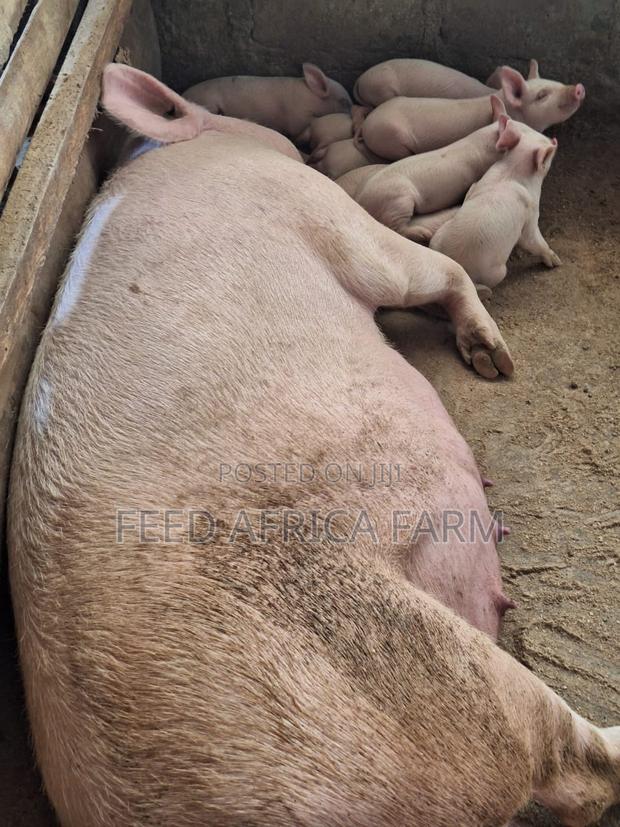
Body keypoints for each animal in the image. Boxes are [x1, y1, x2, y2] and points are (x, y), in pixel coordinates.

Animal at [183, 63, 352, 145]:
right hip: (209, 103)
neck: (311, 98)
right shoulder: (298, 116)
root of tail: (184, 94)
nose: (352, 118)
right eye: (344, 102)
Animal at [431, 118, 561, 288]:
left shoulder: (477, 184)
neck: (514, 169)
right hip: (498, 272)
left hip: (437, 236)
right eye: (546, 145)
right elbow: (532, 240)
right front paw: (557, 262)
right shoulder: (531, 212)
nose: (554, 139)